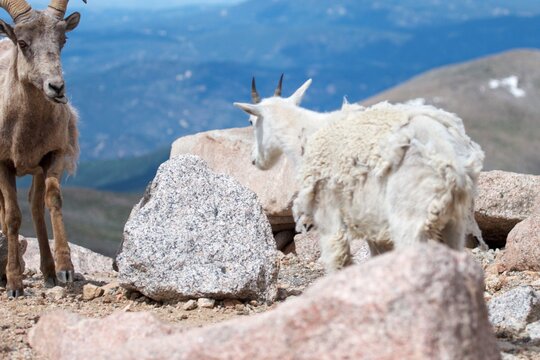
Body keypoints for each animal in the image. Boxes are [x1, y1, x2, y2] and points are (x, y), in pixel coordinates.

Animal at [0, 0, 85, 296]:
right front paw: (14, 284)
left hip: (36, 170)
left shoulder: (52, 156)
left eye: (63, 40)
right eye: (23, 42)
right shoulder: (2, 164)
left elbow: (53, 201)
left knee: (36, 208)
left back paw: (48, 272)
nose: (56, 88)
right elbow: (12, 216)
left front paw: (65, 270)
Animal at [236, 78, 486, 270]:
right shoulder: (368, 220)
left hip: (412, 216)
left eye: (251, 121)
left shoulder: (327, 211)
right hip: (455, 223)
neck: (305, 134)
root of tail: (451, 164)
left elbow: (336, 259)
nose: (254, 159)